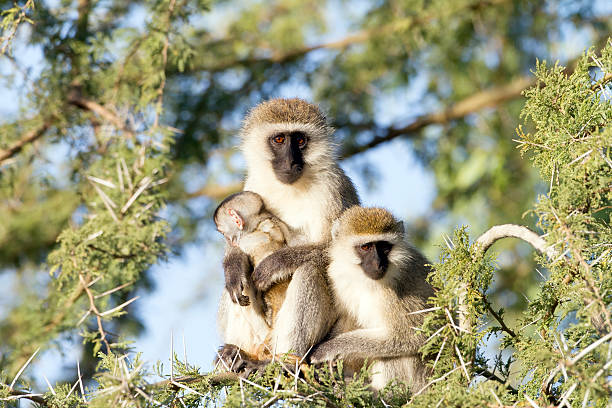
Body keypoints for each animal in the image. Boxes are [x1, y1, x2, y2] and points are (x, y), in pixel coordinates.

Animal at [310, 207, 436, 392]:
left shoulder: (394, 294)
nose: (378, 264)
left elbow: (416, 335)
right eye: (366, 247)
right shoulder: (338, 278)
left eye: (384, 247)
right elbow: (346, 318)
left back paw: (383, 393)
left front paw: (327, 349)